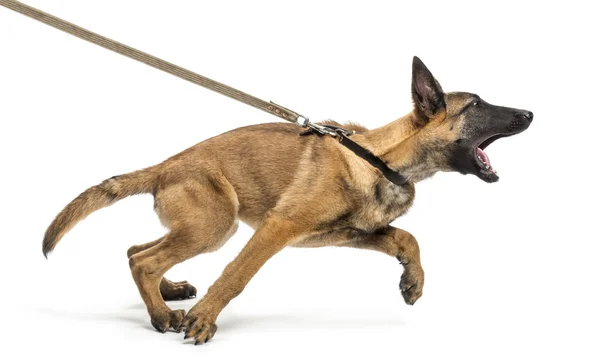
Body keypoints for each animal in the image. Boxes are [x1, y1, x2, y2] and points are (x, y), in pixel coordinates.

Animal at [43, 56, 536, 344]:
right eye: (475, 104)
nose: (530, 113)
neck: (380, 159)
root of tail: (164, 165)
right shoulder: (277, 228)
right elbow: (236, 276)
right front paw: (204, 319)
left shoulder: (349, 233)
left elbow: (406, 237)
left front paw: (412, 281)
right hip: (216, 226)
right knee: (144, 260)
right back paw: (164, 314)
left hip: (200, 226)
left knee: (136, 251)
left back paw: (168, 294)